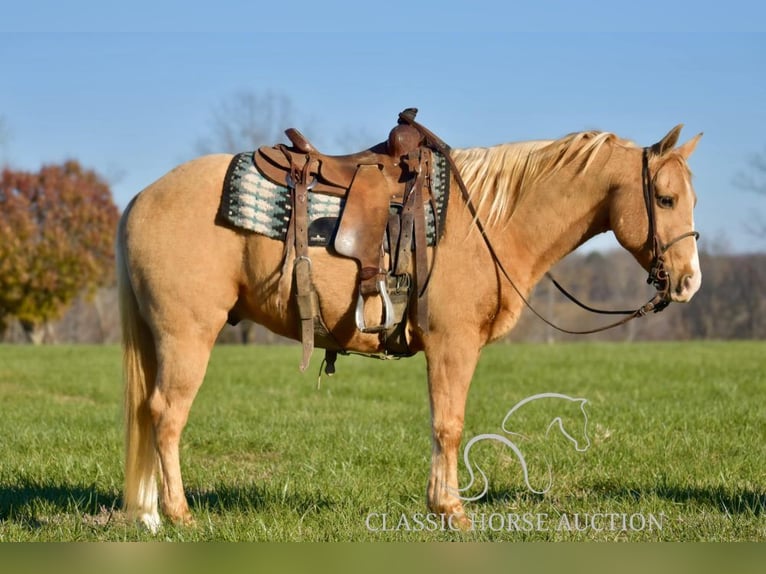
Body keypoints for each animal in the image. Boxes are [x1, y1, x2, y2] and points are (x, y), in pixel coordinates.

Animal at [118, 120, 704, 532]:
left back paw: (146, 512)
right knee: (166, 415)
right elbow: (449, 424)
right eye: (667, 199)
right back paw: (177, 514)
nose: (689, 282)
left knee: (149, 415)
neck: (488, 221)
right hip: (186, 336)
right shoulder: (453, 345)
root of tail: (140, 199)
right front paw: (451, 511)